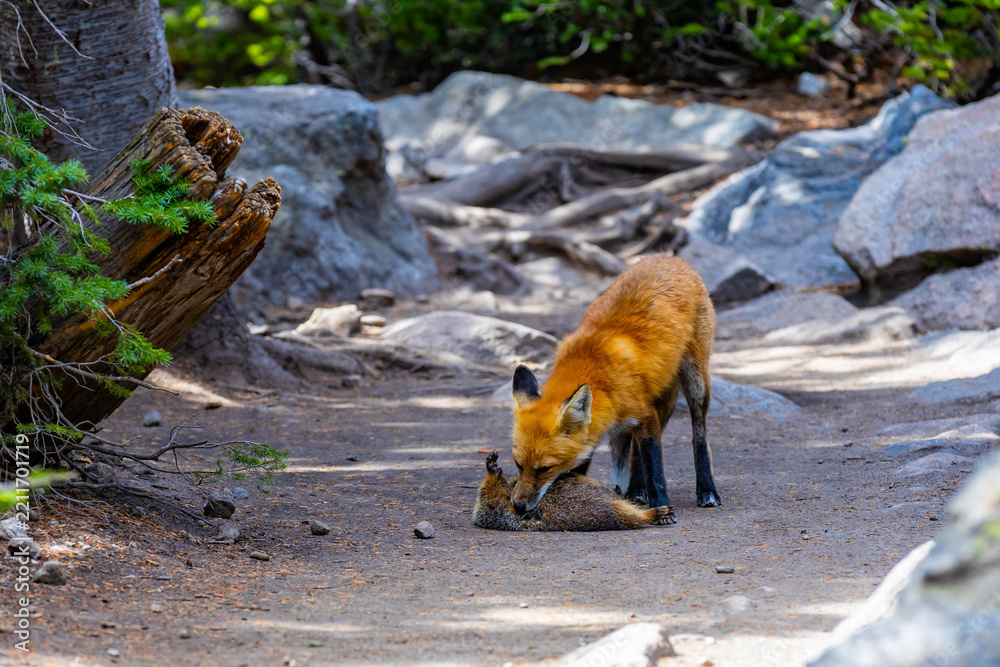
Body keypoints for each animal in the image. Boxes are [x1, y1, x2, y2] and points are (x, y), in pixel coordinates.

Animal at [509, 256, 721, 523]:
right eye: (518, 464)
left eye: (545, 468)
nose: (518, 506)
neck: (597, 371)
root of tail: (671, 258)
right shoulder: (601, 425)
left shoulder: (645, 414)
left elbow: (655, 468)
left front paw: (662, 506)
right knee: (635, 451)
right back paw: (637, 491)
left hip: (696, 382)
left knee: (699, 438)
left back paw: (707, 489)